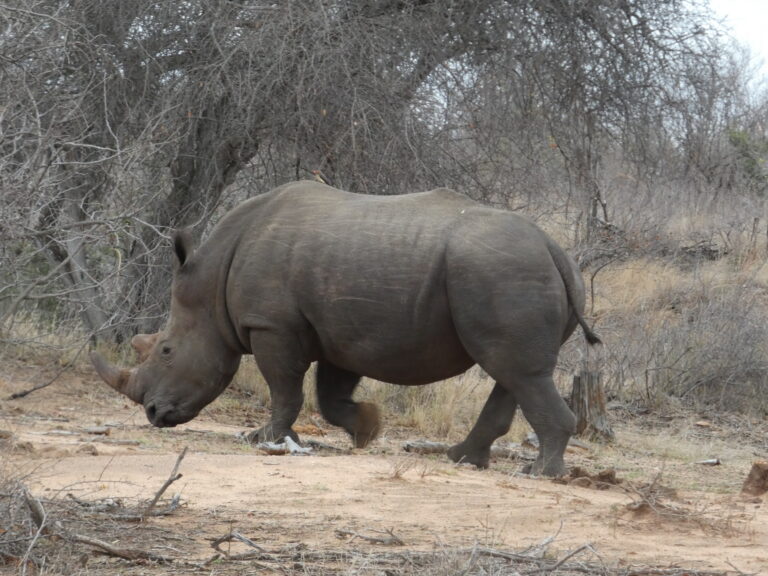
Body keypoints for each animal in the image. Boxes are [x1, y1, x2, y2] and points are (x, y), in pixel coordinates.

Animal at [91, 181, 599, 476]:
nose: (154, 414)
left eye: (166, 351)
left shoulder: (272, 324)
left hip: (503, 271)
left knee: (517, 371)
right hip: (511, 272)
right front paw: (368, 429)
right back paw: (462, 459)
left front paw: (264, 438)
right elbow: (329, 395)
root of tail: (556, 250)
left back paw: (539, 473)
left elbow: (284, 387)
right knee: (511, 370)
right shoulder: (340, 331)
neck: (212, 282)